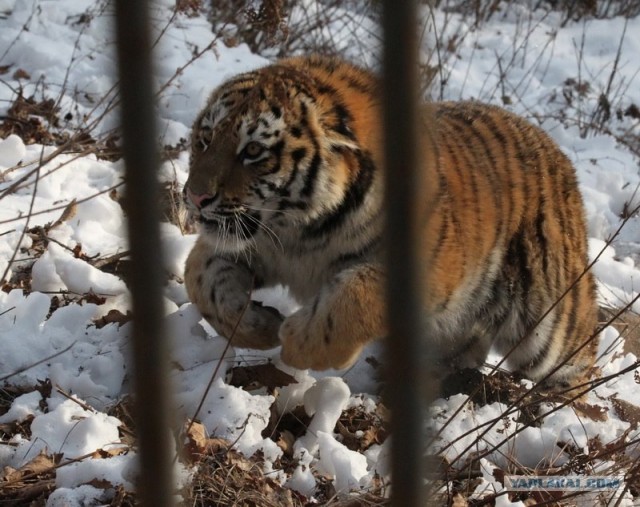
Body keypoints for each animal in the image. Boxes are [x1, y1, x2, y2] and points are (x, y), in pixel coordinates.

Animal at [182, 55, 596, 386]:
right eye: (205, 138)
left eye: (253, 150)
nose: (195, 196)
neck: (300, 230)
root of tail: (559, 153)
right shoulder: (252, 243)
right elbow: (198, 278)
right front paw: (258, 325)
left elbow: (354, 297)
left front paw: (297, 341)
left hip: (551, 322)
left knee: (581, 359)